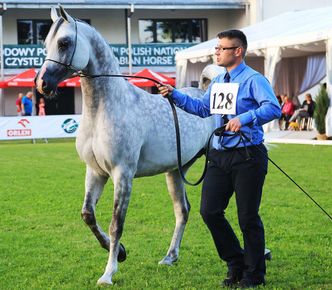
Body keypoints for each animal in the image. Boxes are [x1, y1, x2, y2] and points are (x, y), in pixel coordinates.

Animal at [37, 5, 218, 284]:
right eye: (46, 42)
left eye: (64, 42)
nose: (42, 84)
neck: (104, 110)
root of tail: (207, 95)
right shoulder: (95, 172)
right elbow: (88, 215)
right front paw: (120, 253)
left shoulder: (123, 174)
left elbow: (116, 224)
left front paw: (109, 272)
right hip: (176, 172)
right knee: (182, 211)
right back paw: (170, 257)